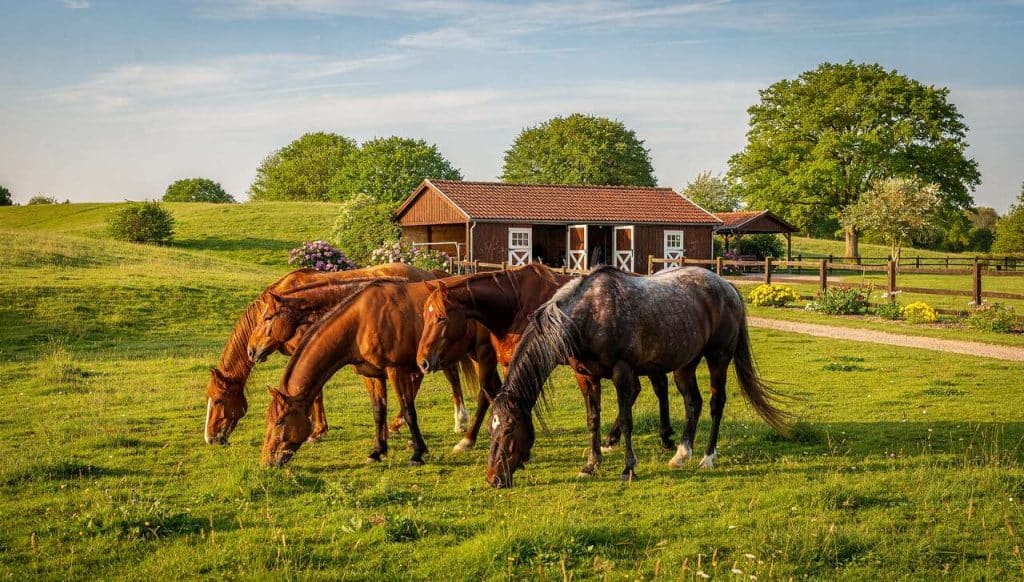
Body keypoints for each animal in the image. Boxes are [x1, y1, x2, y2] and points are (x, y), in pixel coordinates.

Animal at [203, 263, 437, 445]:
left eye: (219, 400)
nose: (211, 438)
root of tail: (428, 276)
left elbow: (316, 393)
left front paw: (317, 431)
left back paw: (397, 424)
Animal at [262, 279, 498, 468]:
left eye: (280, 421)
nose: (267, 460)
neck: (361, 322)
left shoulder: (396, 370)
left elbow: (409, 411)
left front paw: (417, 453)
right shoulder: (371, 375)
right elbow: (378, 412)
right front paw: (377, 451)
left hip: (483, 355)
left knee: (486, 394)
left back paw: (468, 439)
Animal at [416, 264, 675, 455]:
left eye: (441, 317)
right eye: (424, 316)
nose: (422, 361)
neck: (515, 306)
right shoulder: (507, 362)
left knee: (655, 387)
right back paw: (624, 438)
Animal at [485, 266, 788, 488]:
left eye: (509, 429)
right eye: (491, 429)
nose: (494, 478)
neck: (588, 316)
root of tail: (727, 286)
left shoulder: (623, 372)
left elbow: (626, 420)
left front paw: (628, 468)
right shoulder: (585, 377)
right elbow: (592, 420)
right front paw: (591, 465)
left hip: (718, 358)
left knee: (716, 404)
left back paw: (707, 458)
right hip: (685, 365)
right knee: (693, 403)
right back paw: (681, 455)